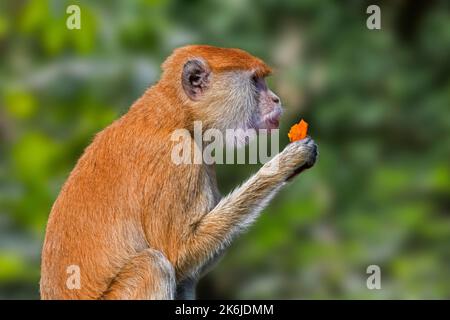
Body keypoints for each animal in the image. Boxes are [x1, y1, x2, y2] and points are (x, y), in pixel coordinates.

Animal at [40, 45, 318, 300]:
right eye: (255, 81)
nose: (276, 99)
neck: (177, 113)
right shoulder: (177, 157)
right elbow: (179, 252)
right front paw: (286, 163)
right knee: (153, 265)